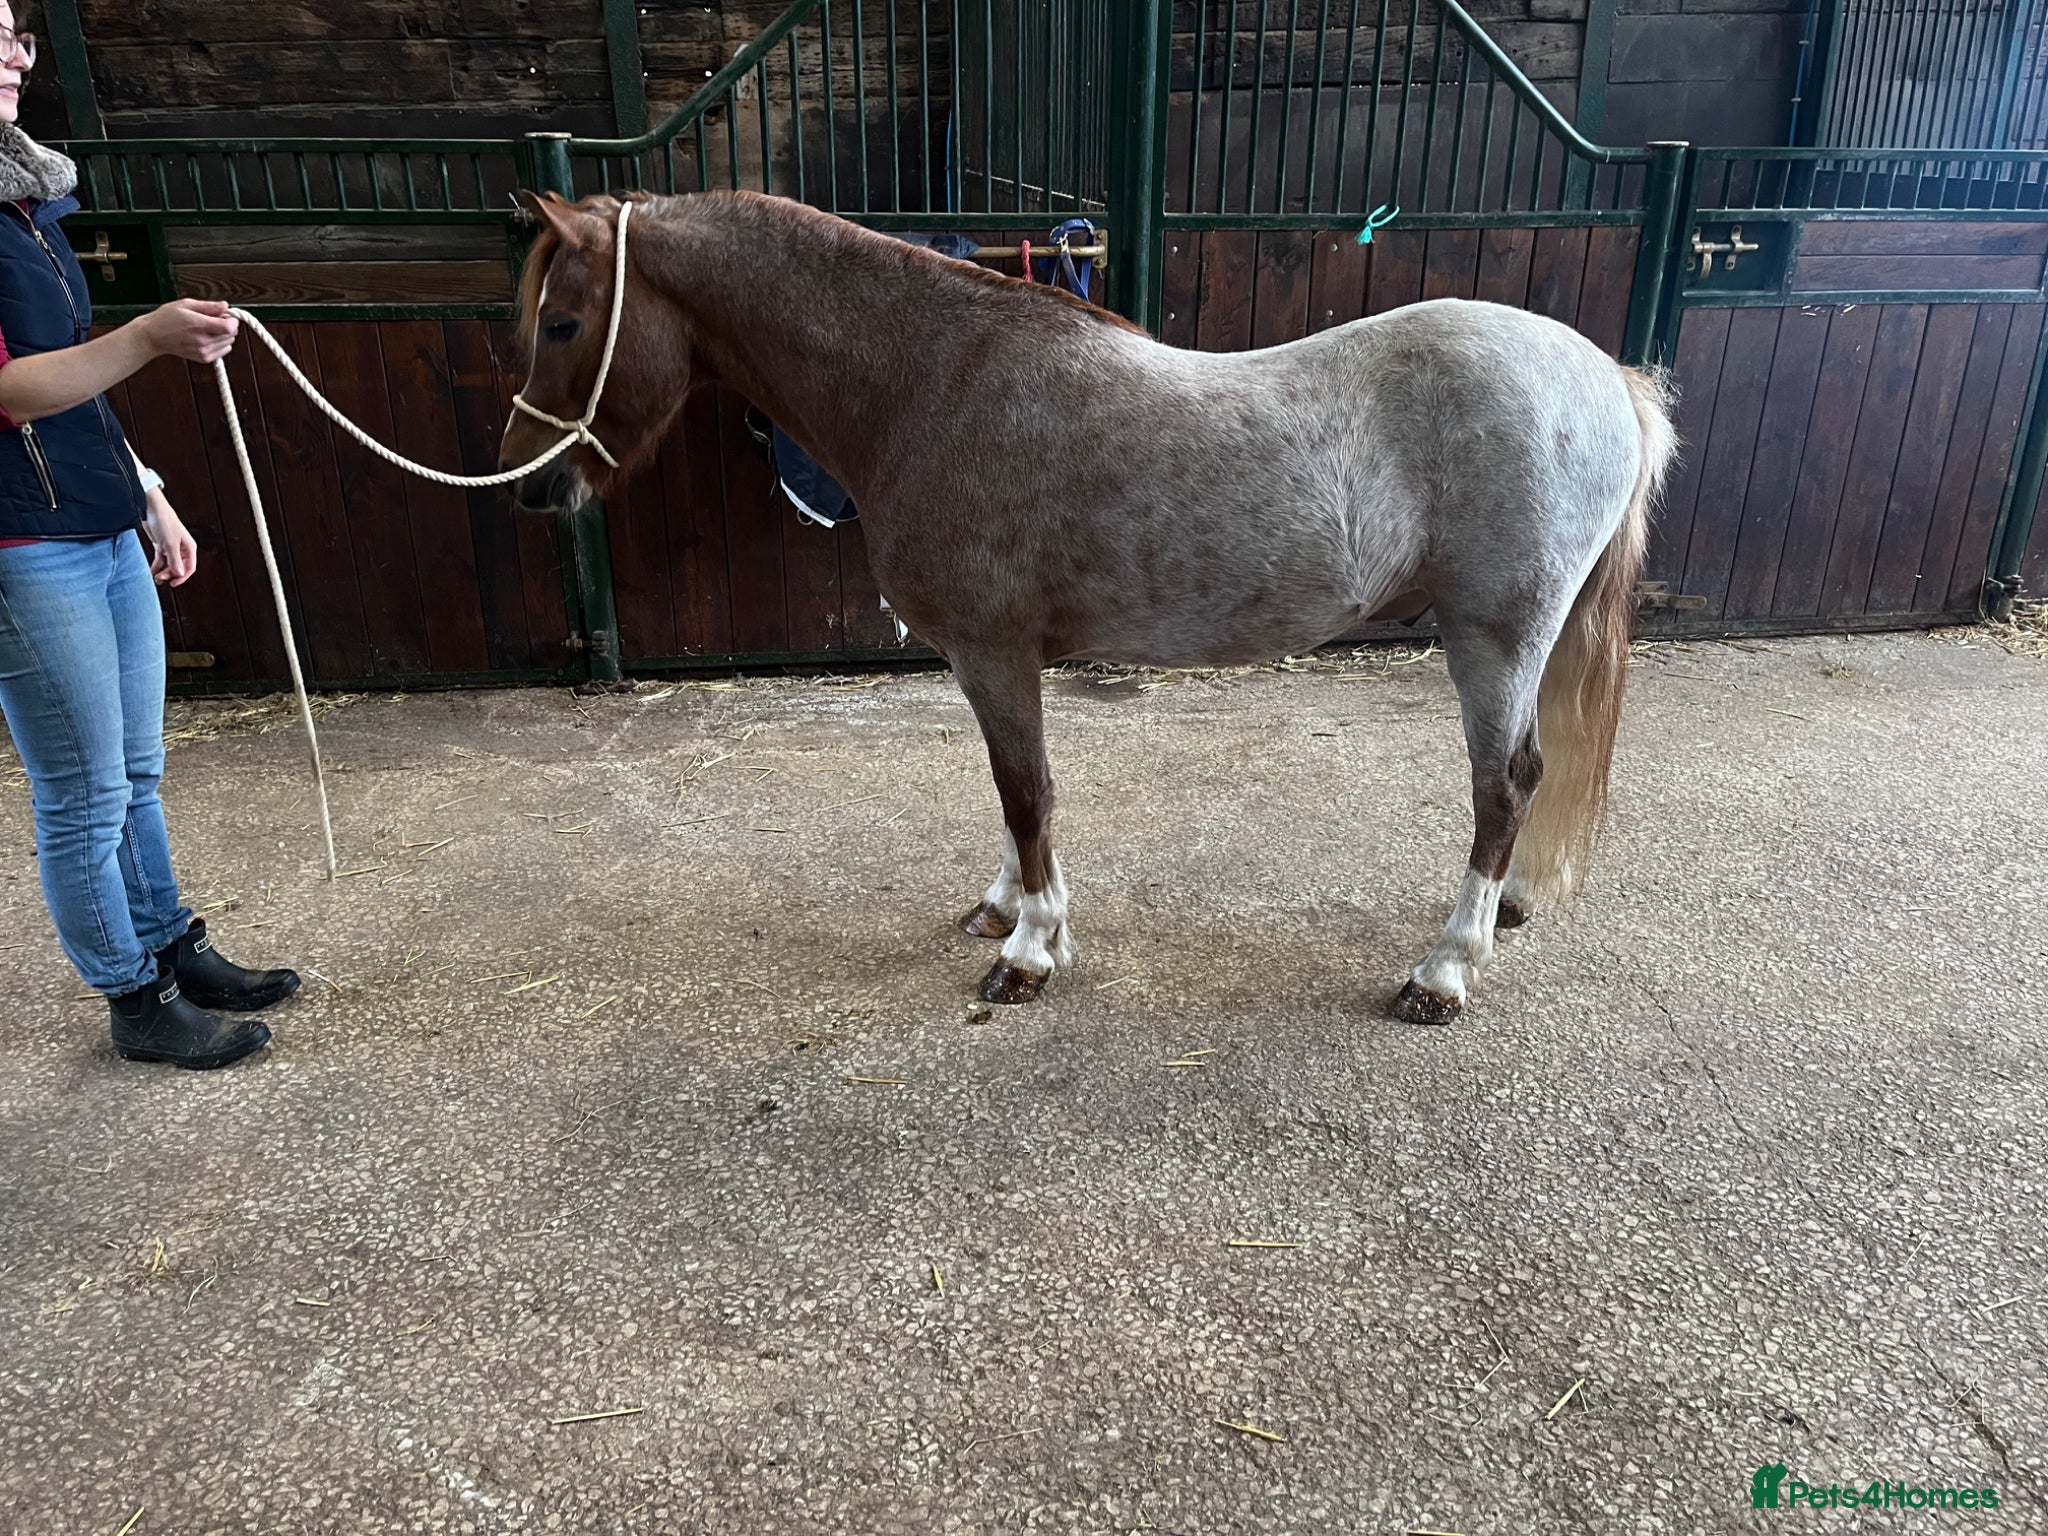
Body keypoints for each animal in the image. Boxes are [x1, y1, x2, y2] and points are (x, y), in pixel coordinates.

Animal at [498, 188, 1677, 1025]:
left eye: (562, 323)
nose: (529, 487)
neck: (932, 381)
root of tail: (1607, 376)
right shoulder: (991, 659)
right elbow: (1016, 795)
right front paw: (1006, 908)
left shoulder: (993, 649)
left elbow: (1026, 792)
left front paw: (1031, 949)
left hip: (1494, 636)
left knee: (1505, 783)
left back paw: (1444, 968)